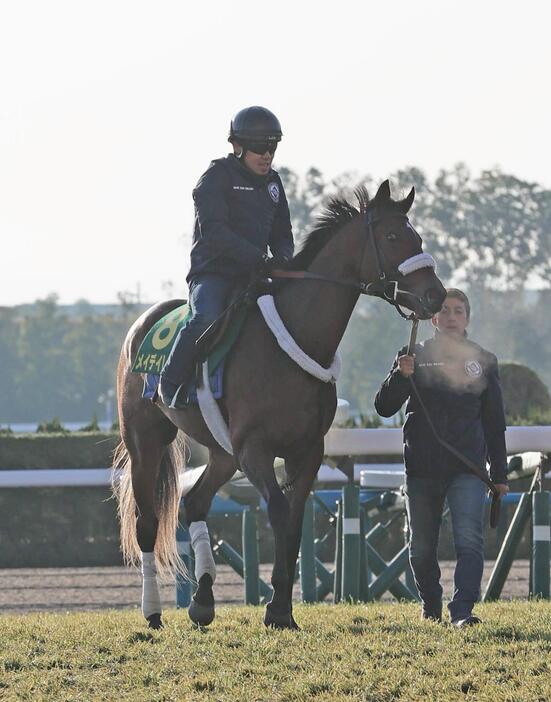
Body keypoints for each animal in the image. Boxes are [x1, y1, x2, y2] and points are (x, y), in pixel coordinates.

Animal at [114, 180, 446, 632]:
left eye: (419, 238)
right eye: (394, 236)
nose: (436, 295)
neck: (295, 336)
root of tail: (142, 323)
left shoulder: (306, 452)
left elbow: (293, 523)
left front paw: (282, 609)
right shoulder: (255, 450)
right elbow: (276, 510)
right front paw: (275, 608)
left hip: (222, 452)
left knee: (194, 503)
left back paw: (203, 600)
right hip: (146, 440)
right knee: (147, 523)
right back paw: (152, 611)